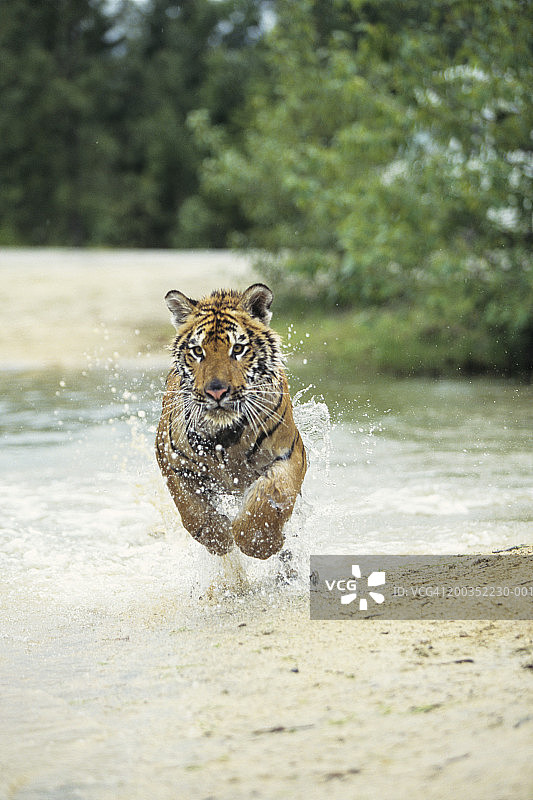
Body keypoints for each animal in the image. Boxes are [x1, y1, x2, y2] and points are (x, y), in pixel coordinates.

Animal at [155, 283, 307, 560]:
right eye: (198, 351)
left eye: (237, 349)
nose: (216, 391)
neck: (225, 437)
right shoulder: (172, 462)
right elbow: (192, 512)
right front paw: (219, 538)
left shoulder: (289, 454)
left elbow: (273, 494)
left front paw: (258, 542)